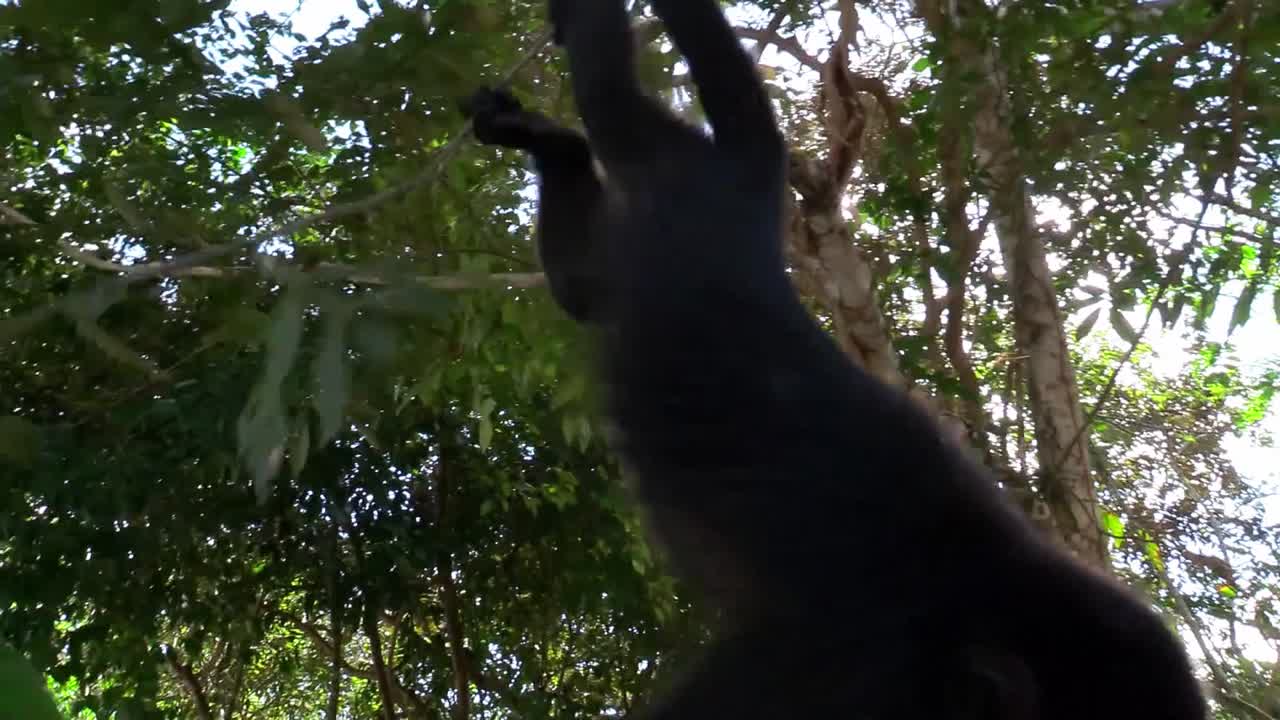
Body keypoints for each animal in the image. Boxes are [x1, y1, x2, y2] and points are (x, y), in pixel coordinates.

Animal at [463, 1, 1208, 718]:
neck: (984, 603)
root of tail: (748, 205)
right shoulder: (857, 656)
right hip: (672, 171)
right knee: (608, 90)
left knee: (584, 285)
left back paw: (555, 147)